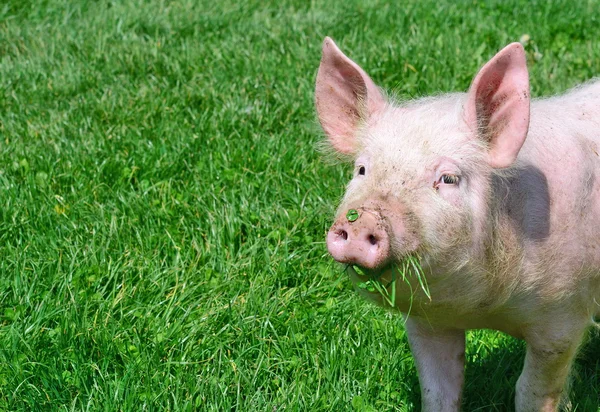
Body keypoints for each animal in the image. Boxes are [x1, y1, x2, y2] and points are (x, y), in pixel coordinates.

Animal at [316, 36, 600, 412]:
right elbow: (438, 391)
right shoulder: (426, 322)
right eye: (361, 170)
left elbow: (531, 391)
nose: (364, 216)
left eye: (448, 178)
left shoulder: (563, 317)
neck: (480, 309)